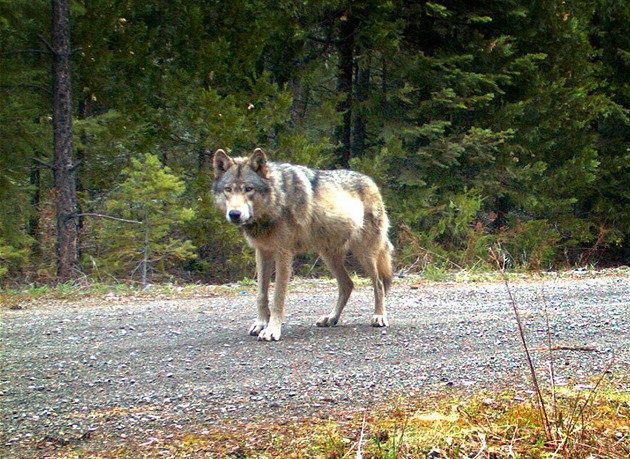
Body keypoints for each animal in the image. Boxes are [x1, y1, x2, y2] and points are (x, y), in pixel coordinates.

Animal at [216, 148, 396, 342]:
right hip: (328, 256)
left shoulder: (283, 254)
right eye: (228, 189)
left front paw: (272, 330)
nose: (234, 214)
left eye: (248, 189)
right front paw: (261, 324)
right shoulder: (262, 251)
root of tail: (371, 181)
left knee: (379, 283)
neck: (277, 198)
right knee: (347, 285)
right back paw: (331, 318)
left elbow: (278, 297)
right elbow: (261, 295)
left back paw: (379, 316)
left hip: (365, 254)